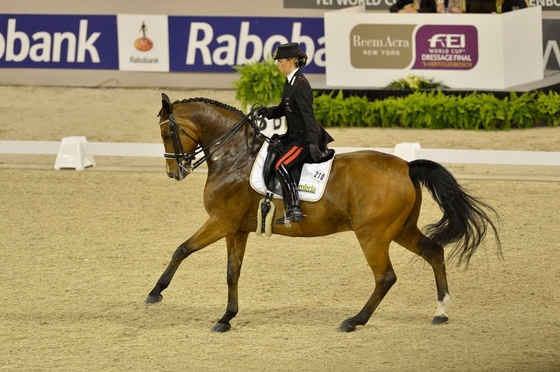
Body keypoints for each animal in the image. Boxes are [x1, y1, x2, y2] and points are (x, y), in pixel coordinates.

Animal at [143, 94, 498, 332]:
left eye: (166, 133)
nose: (174, 172)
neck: (235, 157)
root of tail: (407, 166)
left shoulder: (220, 222)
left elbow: (182, 249)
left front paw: (155, 293)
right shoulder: (236, 229)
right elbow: (233, 272)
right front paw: (227, 318)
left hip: (373, 235)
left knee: (385, 276)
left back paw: (354, 321)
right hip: (401, 229)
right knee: (434, 251)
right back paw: (440, 312)